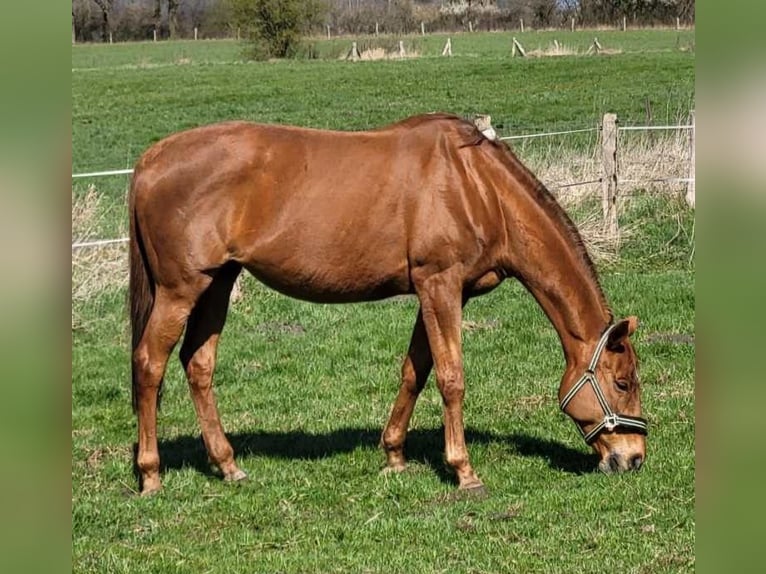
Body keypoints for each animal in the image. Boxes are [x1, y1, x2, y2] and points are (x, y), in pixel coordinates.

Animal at [130, 112, 648, 496]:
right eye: (622, 383)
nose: (634, 457)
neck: (476, 186)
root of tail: (151, 158)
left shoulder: (438, 291)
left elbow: (413, 371)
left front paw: (394, 455)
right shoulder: (440, 285)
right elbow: (451, 378)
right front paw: (464, 472)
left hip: (217, 283)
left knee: (198, 364)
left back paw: (228, 465)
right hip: (180, 289)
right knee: (150, 364)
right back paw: (151, 475)